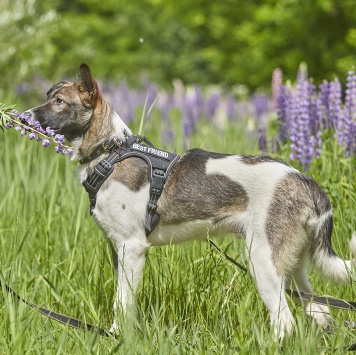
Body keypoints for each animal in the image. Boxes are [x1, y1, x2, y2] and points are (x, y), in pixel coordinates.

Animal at [25, 63, 356, 340]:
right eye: (48, 97)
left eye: (59, 101)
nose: (26, 115)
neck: (110, 151)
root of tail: (306, 181)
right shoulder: (117, 250)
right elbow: (121, 301)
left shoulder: (132, 248)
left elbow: (123, 303)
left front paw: (118, 339)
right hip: (293, 265)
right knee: (319, 310)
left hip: (263, 262)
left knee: (284, 321)